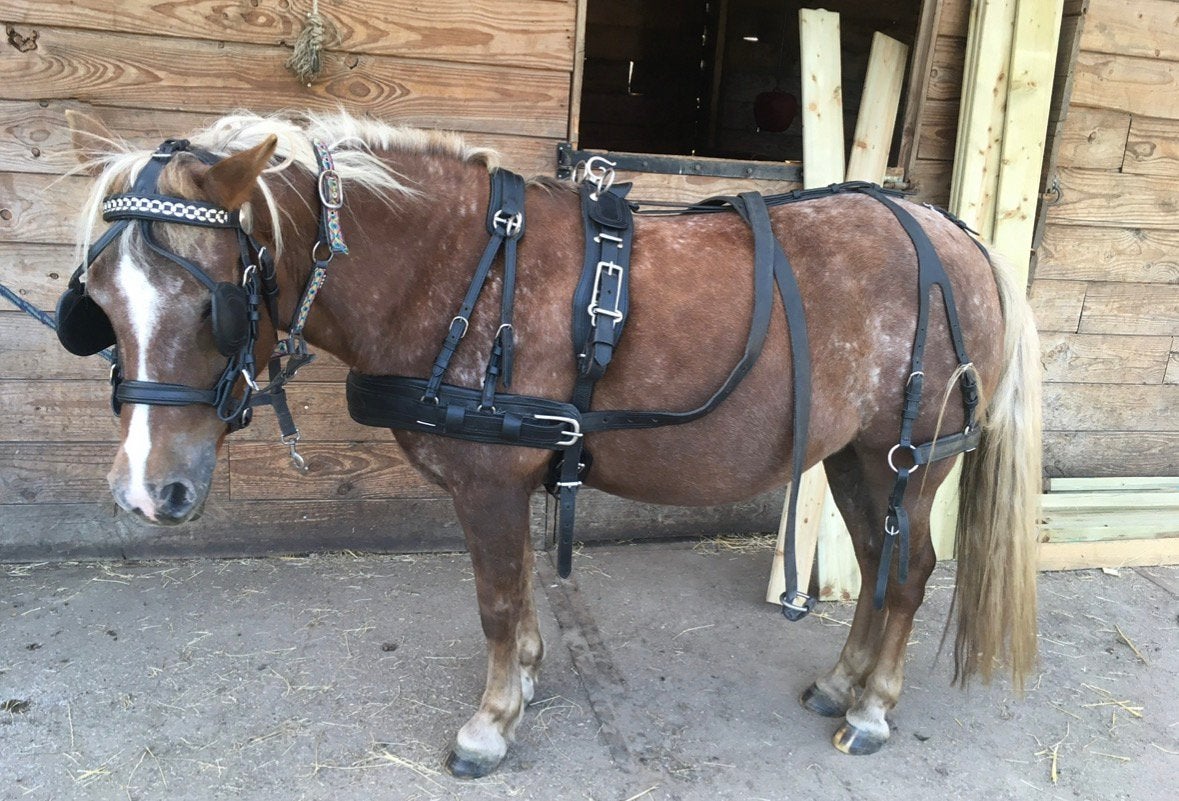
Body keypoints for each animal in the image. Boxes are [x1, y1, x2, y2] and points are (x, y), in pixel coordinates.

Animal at [60, 109, 1042, 779]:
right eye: (97, 305)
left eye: (211, 304)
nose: (145, 491)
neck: (456, 267)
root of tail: (955, 236)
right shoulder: (514, 479)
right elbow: (521, 594)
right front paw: (527, 677)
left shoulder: (489, 482)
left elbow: (496, 601)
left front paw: (490, 724)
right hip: (853, 456)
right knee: (879, 566)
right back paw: (843, 682)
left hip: (909, 456)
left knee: (908, 573)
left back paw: (873, 708)